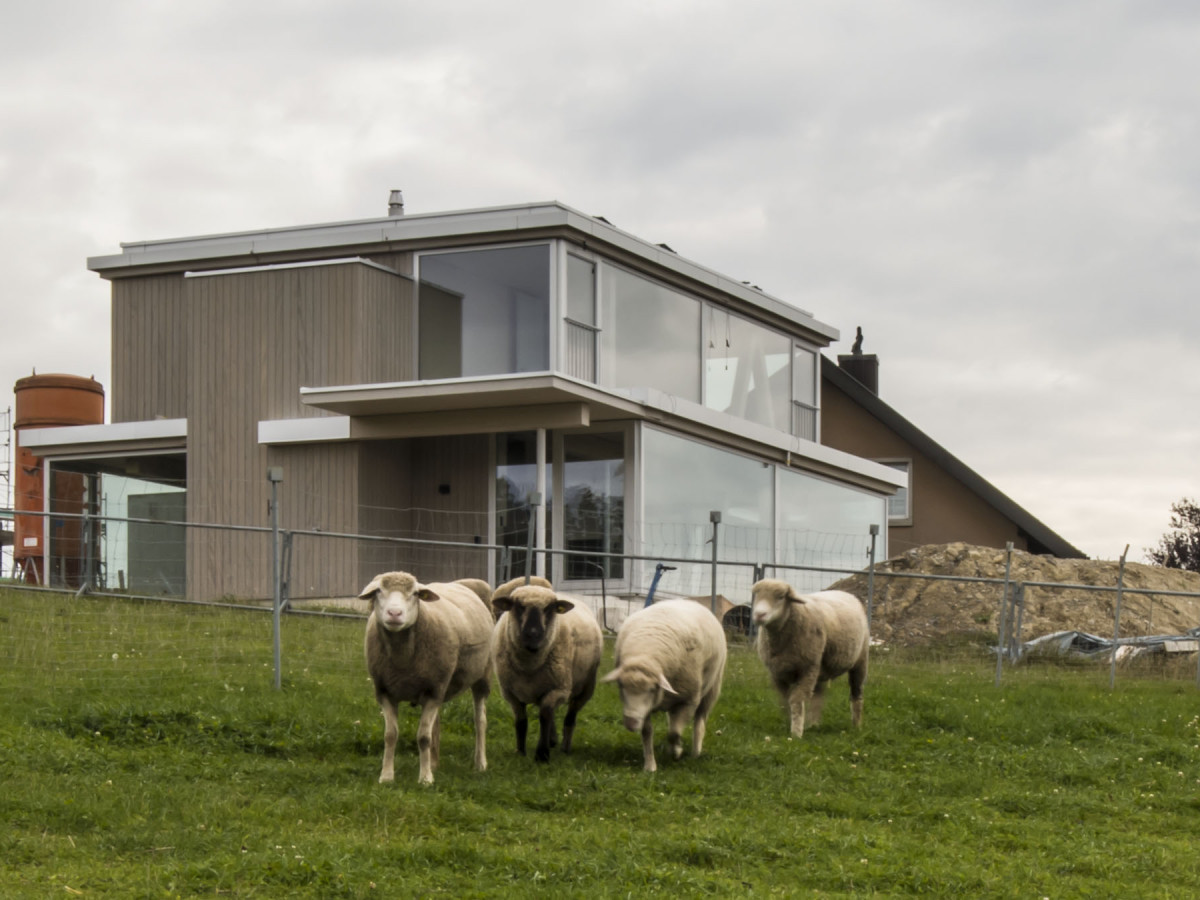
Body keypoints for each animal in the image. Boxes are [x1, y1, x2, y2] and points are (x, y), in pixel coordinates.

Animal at [355, 573, 492, 787]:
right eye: (378, 591)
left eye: (415, 594)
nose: (394, 613)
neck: (402, 660)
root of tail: (460, 583)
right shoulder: (385, 692)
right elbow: (390, 735)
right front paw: (386, 776)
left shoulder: (433, 690)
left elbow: (423, 737)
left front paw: (425, 779)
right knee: (436, 723)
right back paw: (434, 762)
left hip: (482, 675)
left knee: (480, 720)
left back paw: (480, 763)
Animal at [489, 585, 604, 763]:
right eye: (519, 606)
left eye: (549, 608)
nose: (533, 635)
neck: (529, 665)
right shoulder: (511, 694)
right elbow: (521, 722)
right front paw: (520, 752)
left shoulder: (559, 689)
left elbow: (544, 716)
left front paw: (541, 754)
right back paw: (552, 740)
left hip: (585, 687)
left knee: (569, 717)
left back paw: (564, 747)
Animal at [597, 600, 720, 777]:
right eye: (620, 686)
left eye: (652, 689)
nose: (630, 723)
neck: (646, 655)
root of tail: (686, 600)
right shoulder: (645, 709)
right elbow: (648, 732)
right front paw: (650, 766)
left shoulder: (688, 700)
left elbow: (674, 733)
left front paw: (677, 752)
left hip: (711, 689)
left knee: (700, 720)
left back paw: (695, 752)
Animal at [753, 578, 868, 739]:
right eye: (756, 594)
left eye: (781, 597)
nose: (759, 615)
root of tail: (846, 593)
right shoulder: (776, 673)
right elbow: (784, 700)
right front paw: (790, 724)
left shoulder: (807, 669)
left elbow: (796, 700)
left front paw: (796, 733)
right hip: (819, 668)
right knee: (818, 695)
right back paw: (814, 725)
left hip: (859, 661)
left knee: (856, 693)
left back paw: (856, 726)